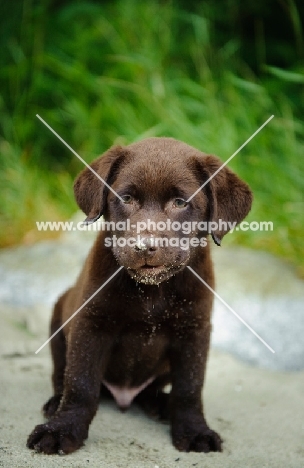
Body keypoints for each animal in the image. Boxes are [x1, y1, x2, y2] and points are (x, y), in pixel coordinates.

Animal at [27, 138, 252, 454]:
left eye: (180, 203)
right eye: (127, 199)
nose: (144, 246)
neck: (152, 290)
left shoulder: (194, 331)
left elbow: (190, 388)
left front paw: (194, 430)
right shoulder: (90, 324)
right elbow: (80, 383)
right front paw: (62, 429)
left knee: (154, 389)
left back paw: (161, 404)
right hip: (60, 318)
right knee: (62, 374)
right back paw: (54, 403)